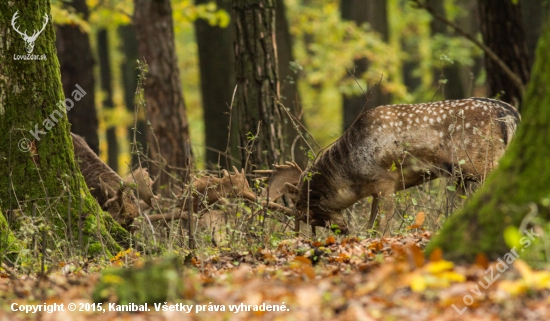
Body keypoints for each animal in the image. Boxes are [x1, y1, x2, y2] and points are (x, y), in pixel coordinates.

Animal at [258, 96, 520, 234]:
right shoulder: (375, 189)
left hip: (484, 162)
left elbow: (384, 221)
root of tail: (511, 114)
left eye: (304, 209)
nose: (342, 230)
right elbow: (370, 221)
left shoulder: (386, 180)